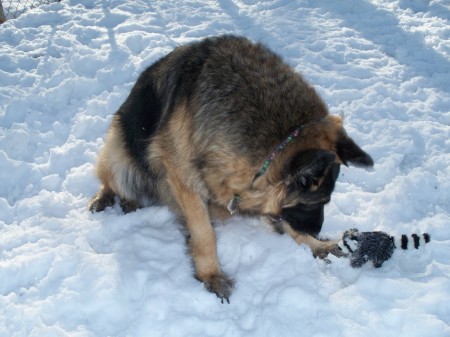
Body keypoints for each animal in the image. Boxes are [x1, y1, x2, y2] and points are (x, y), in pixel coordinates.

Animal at [88, 35, 372, 300]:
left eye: (325, 202)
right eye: (314, 203)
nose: (316, 230)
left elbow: (284, 221)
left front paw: (316, 245)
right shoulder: (183, 179)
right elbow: (204, 233)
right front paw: (211, 276)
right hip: (119, 154)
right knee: (110, 180)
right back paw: (108, 199)